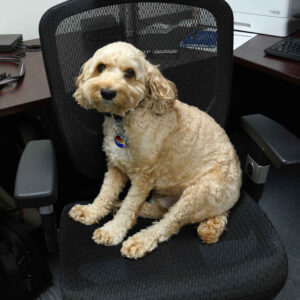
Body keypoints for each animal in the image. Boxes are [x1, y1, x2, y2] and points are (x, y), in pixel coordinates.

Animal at [68, 41, 241, 258]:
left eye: (130, 73)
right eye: (100, 67)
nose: (107, 92)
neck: (125, 118)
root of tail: (232, 200)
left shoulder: (144, 177)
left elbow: (130, 205)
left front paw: (112, 231)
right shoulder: (116, 167)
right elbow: (105, 193)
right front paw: (91, 212)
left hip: (198, 193)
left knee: (169, 223)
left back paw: (140, 240)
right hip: (166, 194)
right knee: (160, 211)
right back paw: (118, 206)